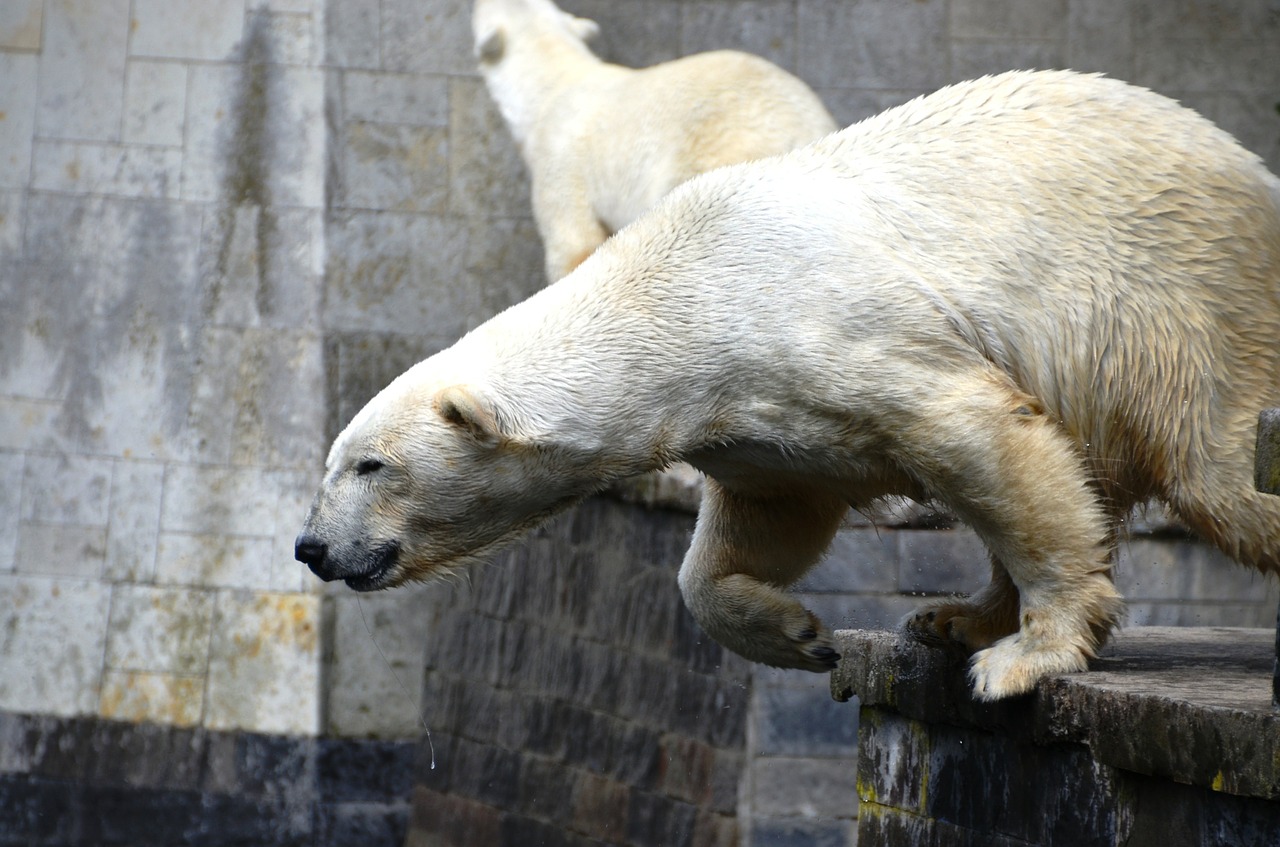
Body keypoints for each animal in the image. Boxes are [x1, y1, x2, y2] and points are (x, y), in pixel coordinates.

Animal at [296, 69, 1280, 701]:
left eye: (371, 465)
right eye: (335, 461)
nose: (311, 547)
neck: (685, 294)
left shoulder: (841, 333)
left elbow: (981, 436)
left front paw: (1027, 657)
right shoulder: (750, 414)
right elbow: (761, 522)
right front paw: (803, 636)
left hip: (1191, 317)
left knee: (1221, 478)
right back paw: (953, 617)